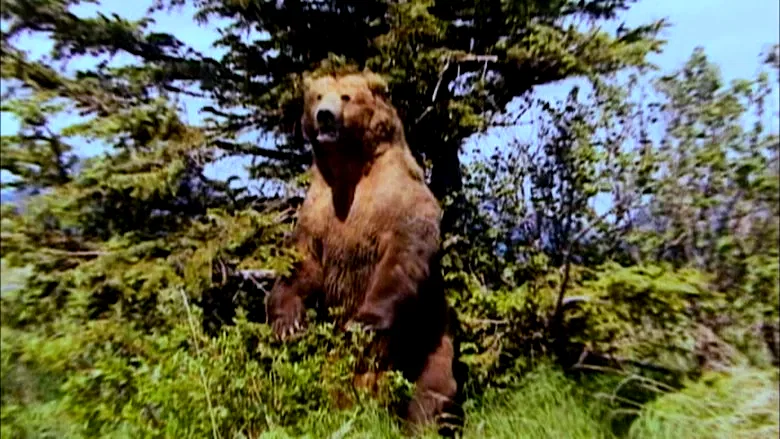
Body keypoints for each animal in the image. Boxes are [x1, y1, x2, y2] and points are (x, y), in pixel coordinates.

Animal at [265, 68, 462, 434]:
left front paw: (365, 322)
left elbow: (404, 254)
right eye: (317, 96)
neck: (349, 169)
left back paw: (419, 424)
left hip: (428, 335)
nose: (325, 116)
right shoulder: (318, 214)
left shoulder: (399, 201)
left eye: (346, 97)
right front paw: (287, 323)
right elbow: (303, 263)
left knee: (432, 388)